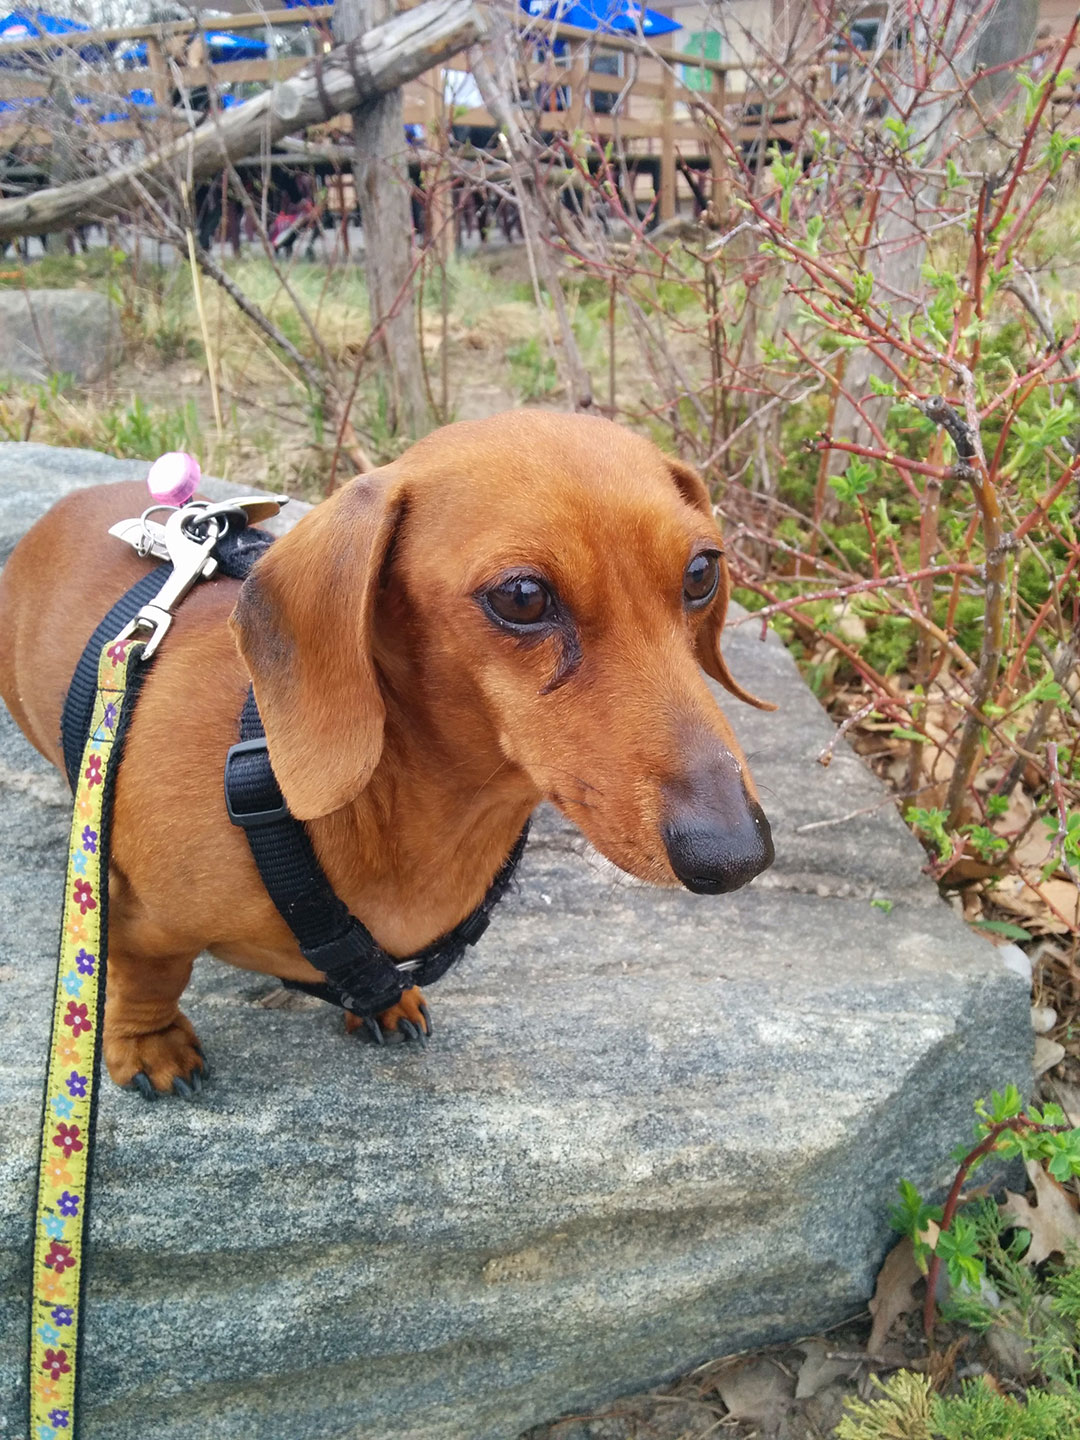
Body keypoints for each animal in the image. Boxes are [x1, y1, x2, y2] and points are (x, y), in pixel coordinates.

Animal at [0, 411, 777, 1094]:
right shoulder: (133, 914)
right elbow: (145, 979)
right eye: (522, 596)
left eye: (703, 572)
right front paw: (148, 1046)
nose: (736, 854)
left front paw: (382, 1003)